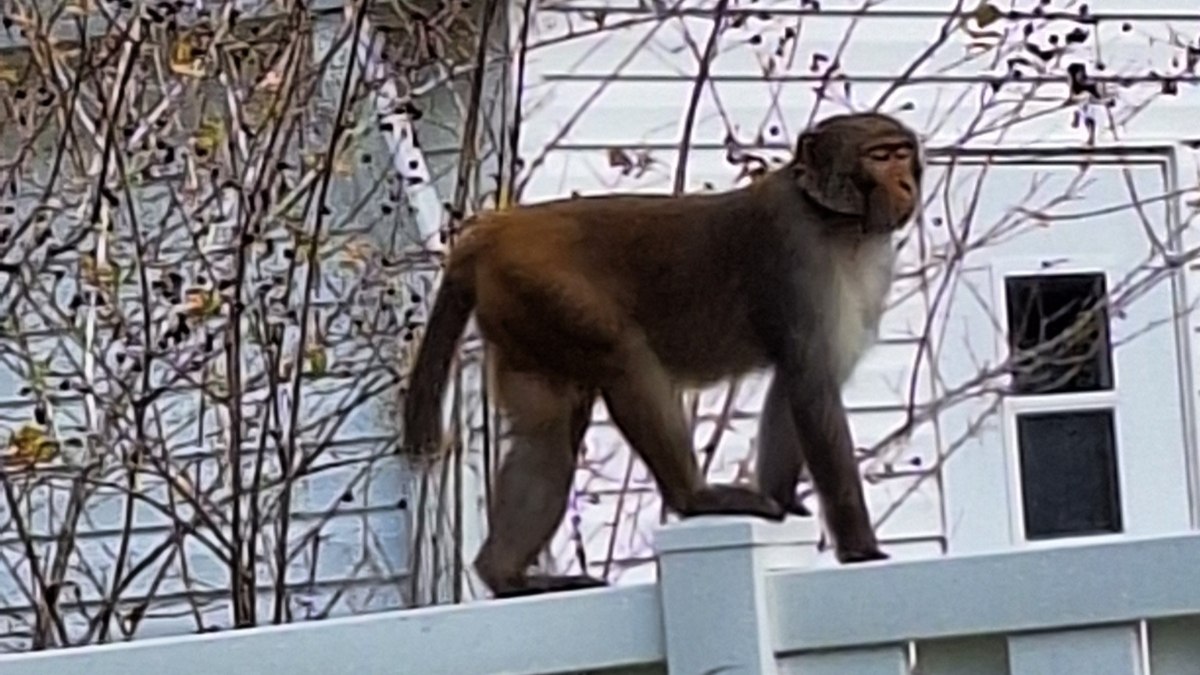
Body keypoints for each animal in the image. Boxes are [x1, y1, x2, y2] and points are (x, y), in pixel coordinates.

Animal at [403, 111, 916, 598]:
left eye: (902, 154)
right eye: (879, 156)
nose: (906, 183)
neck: (835, 223)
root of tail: (496, 231)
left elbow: (800, 383)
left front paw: (782, 497)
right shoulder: (795, 249)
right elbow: (811, 384)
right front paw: (862, 550)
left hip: (519, 314)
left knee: (545, 435)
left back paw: (506, 575)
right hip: (540, 283)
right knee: (623, 357)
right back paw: (694, 497)